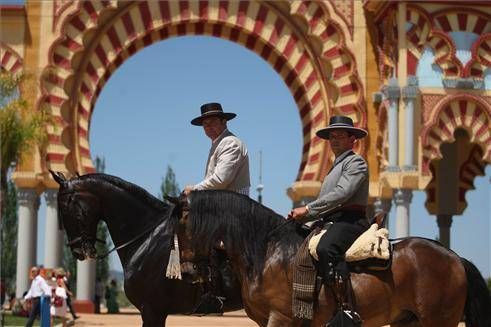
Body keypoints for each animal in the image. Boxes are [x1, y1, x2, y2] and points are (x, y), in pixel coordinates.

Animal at [170, 190, 491, 327]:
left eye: (182, 226)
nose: (188, 272)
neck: (266, 253)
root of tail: (455, 258)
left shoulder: (280, 319)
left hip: (439, 321)